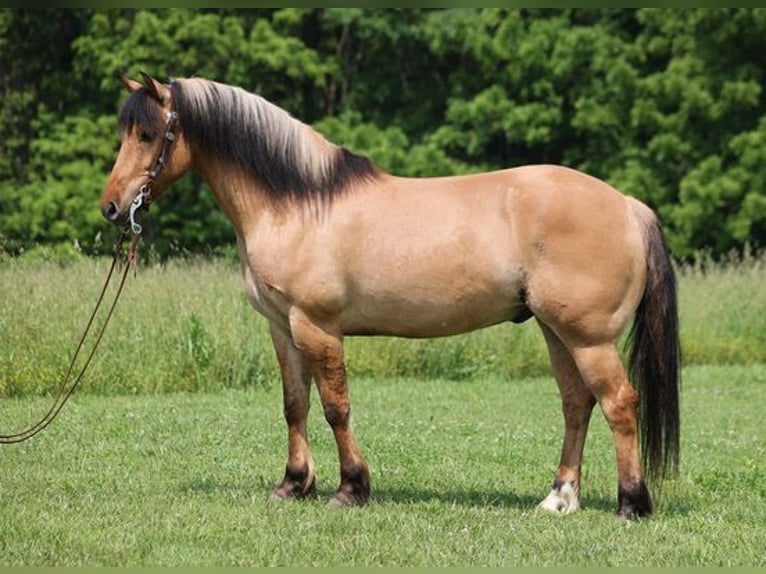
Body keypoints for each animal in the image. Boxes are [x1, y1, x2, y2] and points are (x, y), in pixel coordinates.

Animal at [99, 73, 680, 520]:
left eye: (148, 134)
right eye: (125, 132)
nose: (112, 207)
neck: (299, 201)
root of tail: (628, 206)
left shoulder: (316, 326)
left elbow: (336, 408)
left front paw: (350, 489)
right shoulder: (282, 327)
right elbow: (294, 405)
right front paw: (293, 485)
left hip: (588, 337)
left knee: (619, 403)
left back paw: (632, 503)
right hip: (556, 331)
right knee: (577, 404)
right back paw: (559, 499)